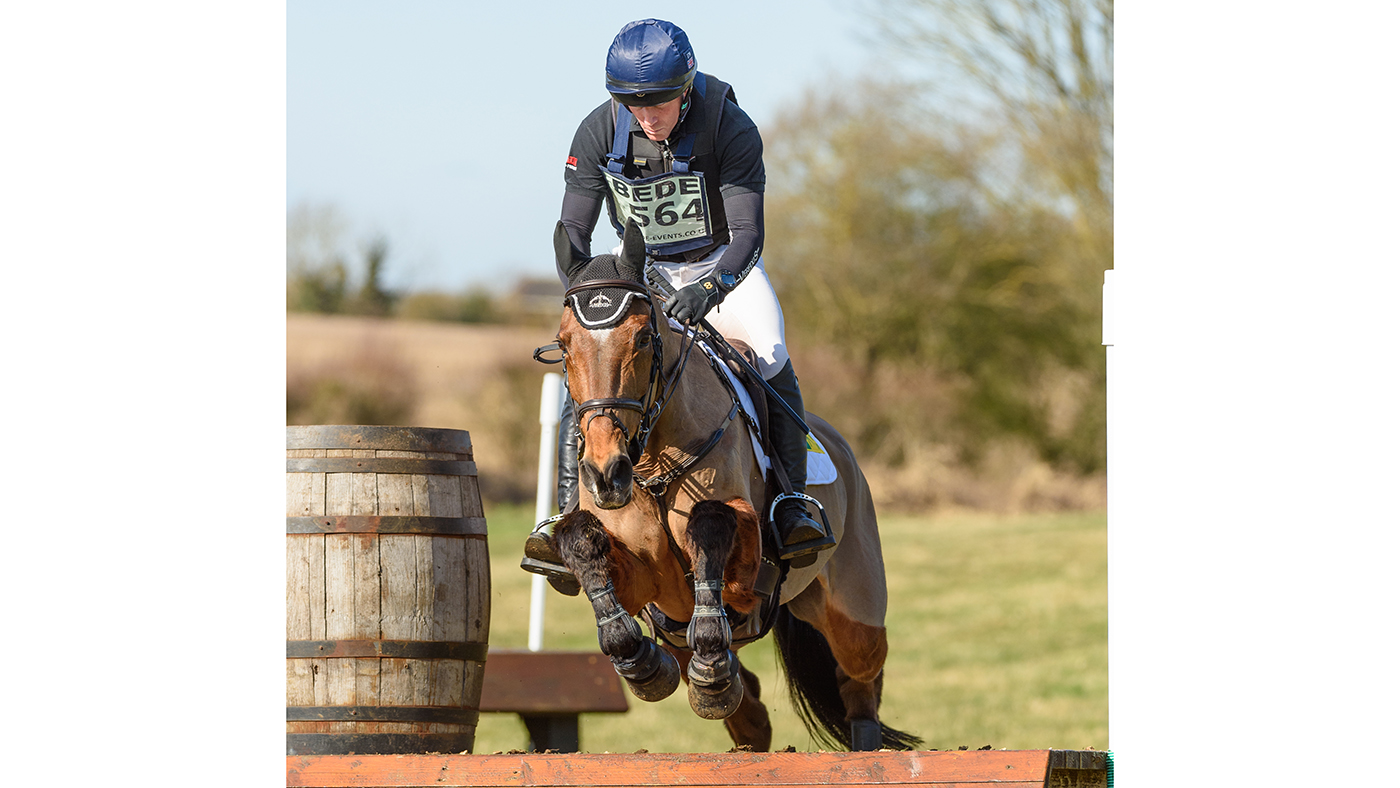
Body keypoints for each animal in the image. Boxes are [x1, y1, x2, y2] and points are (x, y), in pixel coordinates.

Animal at [538, 219, 921, 752]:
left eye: (642, 339)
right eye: (564, 343)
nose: (605, 472)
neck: (652, 460)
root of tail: (839, 445)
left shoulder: (744, 563)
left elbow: (710, 527)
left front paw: (701, 662)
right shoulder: (642, 578)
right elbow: (582, 545)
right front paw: (644, 664)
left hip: (854, 610)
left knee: (859, 681)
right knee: (749, 707)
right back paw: (721, 688)